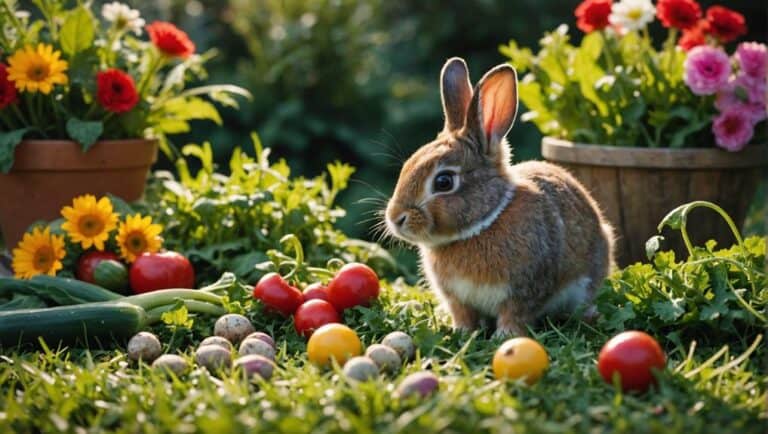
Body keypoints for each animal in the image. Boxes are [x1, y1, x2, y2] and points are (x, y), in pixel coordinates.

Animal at [384, 57, 615, 336]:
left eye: (444, 182)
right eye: (407, 165)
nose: (395, 218)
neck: (482, 225)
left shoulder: (524, 290)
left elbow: (514, 314)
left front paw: (505, 336)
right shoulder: (457, 299)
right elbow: (464, 315)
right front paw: (462, 332)